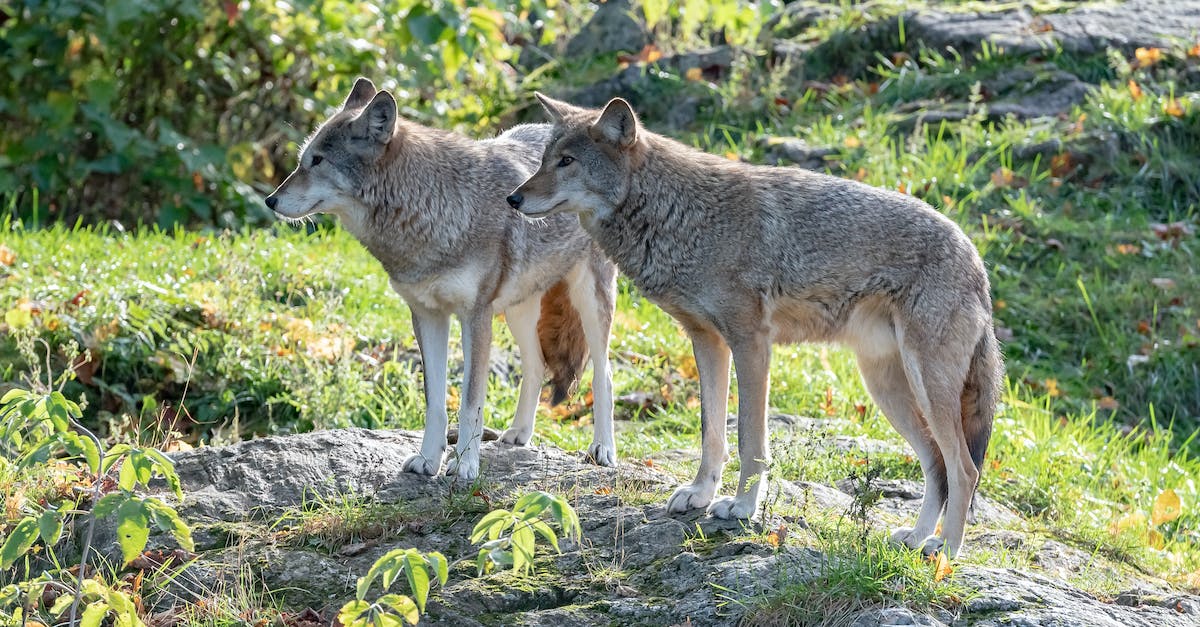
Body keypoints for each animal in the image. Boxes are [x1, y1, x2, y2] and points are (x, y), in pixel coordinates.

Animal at [265, 79, 618, 481]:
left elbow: (470, 401)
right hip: (519, 310)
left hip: (589, 302)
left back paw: (602, 449)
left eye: (318, 161)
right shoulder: (427, 315)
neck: (431, 210)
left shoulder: (475, 316)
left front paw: (464, 464)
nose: (270, 200)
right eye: (302, 160)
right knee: (537, 366)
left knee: (604, 373)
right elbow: (434, 400)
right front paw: (428, 460)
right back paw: (518, 434)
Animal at [507, 94, 1002, 557]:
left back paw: (945, 551)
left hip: (924, 386)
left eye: (567, 162)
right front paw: (701, 494)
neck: (683, 215)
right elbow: (711, 433)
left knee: (965, 468)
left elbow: (749, 438)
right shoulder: (706, 342)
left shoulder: (751, 343)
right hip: (887, 389)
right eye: (544, 160)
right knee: (936, 463)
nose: (513, 198)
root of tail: (977, 261)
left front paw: (743, 508)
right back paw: (916, 538)